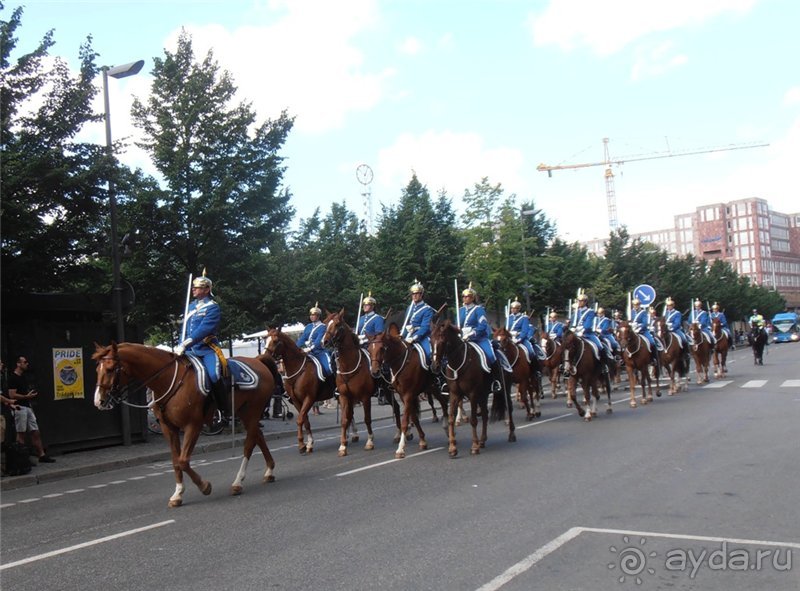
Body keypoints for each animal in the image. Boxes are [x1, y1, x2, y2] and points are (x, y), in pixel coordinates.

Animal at [92, 342, 276, 508]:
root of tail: (258, 361)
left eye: (110, 369)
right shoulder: (168, 428)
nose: (99, 401)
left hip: (252, 413)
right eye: (97, 370)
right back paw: (269, 471)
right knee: (258, 436)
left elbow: (183, 461)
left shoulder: (192, 426)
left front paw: (204, 486)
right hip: (245, 414)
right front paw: (178, 494)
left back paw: (238, 482)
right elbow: (175, 461)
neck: (167, 380)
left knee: (249, 444)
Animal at [264, 326, 336, 456]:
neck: (297, 370)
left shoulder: (309, 398)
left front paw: (302, 445)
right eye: (265, 339)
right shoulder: (296, 400)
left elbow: (300, 420)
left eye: (275, 341)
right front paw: (308, 444)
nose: (265, 357)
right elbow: (305, 420)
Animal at [320, 310, 380, 458]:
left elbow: (367, 418)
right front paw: (342, 446)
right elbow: (344, 419)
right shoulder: (344, 396)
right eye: (325, 323)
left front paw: (370, 442)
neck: (349, 365)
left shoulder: (365, 397)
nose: (324, 342)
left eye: (337, 324)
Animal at [366, 324, 446, 458]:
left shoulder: (409, 394)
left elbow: (404, 421)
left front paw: (400, 449)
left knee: (446, 403)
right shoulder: (404, 395)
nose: (375, 372)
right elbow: (413, 417)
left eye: (382, 348)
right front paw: (422, 440)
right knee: (444, 402)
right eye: (368, 349)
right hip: (431, 387)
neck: (400, 361)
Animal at [428, 320, 516, 458]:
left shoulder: (472, 394)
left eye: (442, 341)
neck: (458, 363)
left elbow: (473, 420)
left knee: (509, 408)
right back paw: (482, 440)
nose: (434, 366)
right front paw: (452, 448)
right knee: (485, 414)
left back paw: (511, 434)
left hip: (504, 389)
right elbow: (451, 419)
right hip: (484, 394)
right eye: (431, 341)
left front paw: (474, 446)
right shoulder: (454, 394)